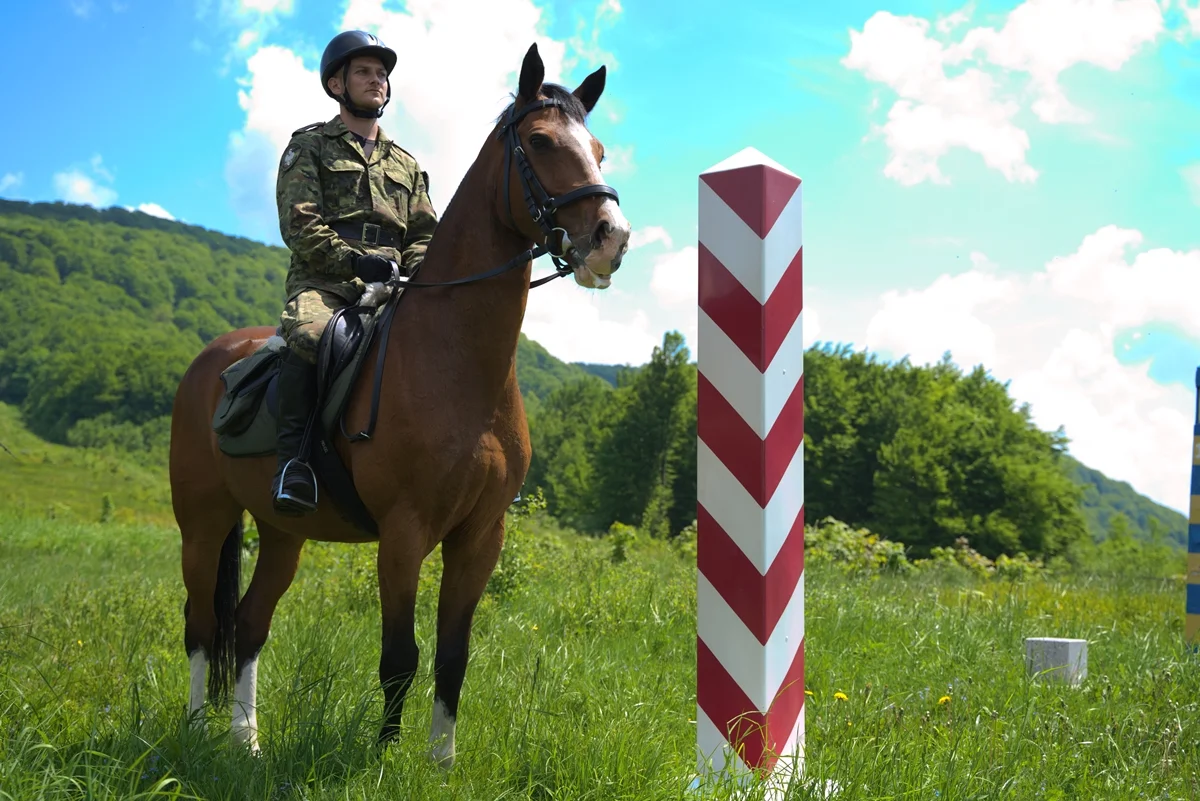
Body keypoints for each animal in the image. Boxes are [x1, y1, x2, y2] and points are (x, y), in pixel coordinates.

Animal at [172, 45, 633, 767]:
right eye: (539, 142)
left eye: (601, 151)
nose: (611, 239)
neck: (459, 363)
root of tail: (209, 361)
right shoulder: (404, 532)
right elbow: (399, 656)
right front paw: (386, 760)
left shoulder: (480, 537)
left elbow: (452, 655)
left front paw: (441, 762)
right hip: (204, 521)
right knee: (199, 622)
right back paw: (197, 729)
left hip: (280, 533)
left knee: (248, 623)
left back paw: (246, 742)